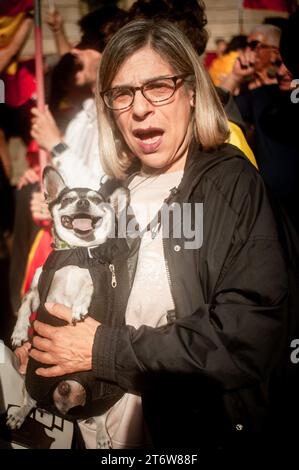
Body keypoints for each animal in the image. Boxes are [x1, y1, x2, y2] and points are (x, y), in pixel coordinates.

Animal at [7, 166, 128, 448]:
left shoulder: (97, 284)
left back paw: (103, 437)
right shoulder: (37, 293)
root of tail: (63, 402)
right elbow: (24, 307)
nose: (83, 202)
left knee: (100, 418)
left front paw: (79, 306)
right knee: (30, 401)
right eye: (68, 199)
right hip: (33, 380)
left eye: (96, 200)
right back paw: (18, 414)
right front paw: (19, 333)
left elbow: (88, 287)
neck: (76, 253)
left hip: (104, 397)